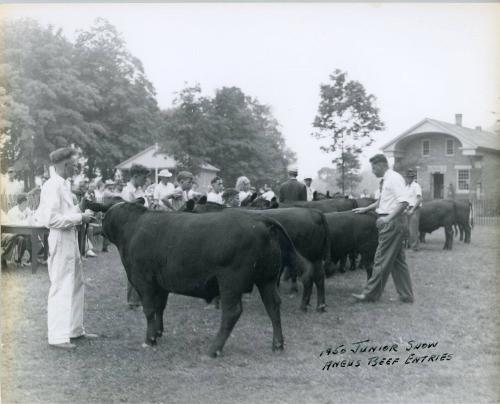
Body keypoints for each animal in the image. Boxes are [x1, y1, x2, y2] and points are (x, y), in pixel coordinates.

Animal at [102, 202, 306, 356]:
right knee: (273, 306)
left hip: (231, 282)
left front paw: (150, 339)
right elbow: (160, 308)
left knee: (232, 312)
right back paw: (278, 344)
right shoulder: (161, 284)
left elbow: (150, 310)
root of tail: (259, 219)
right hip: (267, 279)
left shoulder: (145, 282)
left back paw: (214, 349)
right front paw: (159, 332)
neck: (133, 227)